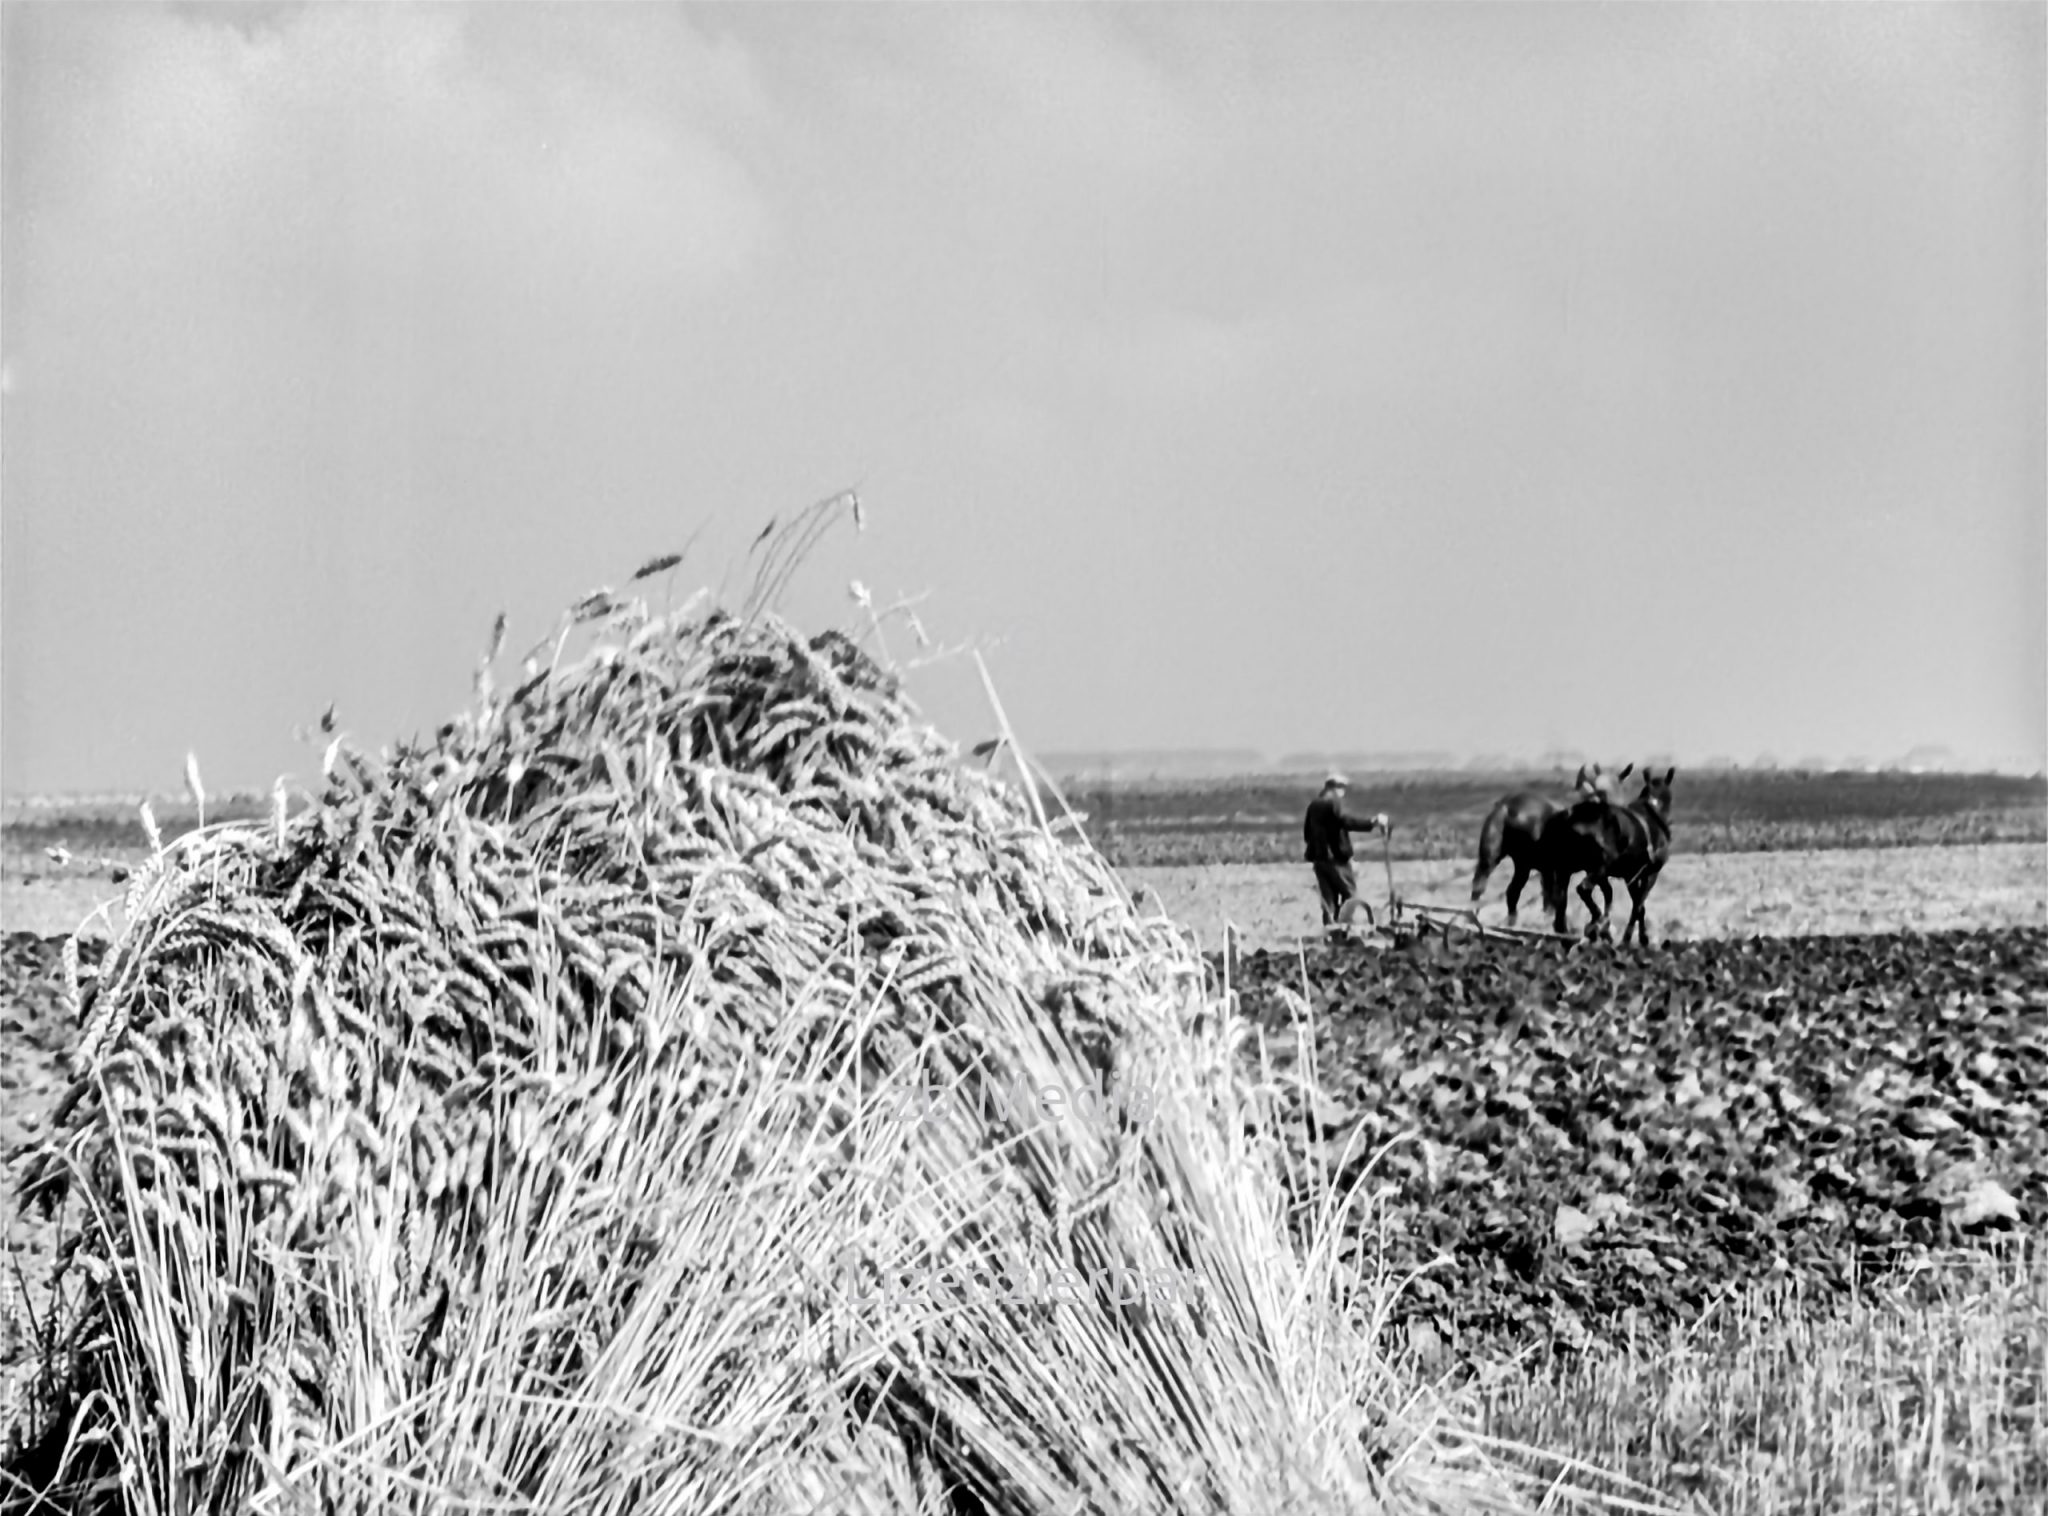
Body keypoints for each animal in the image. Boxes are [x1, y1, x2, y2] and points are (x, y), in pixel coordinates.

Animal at [1474, 762, 1630, 930]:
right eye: (1601, 794)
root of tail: (1506, 806)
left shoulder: (1577, 870)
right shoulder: (1563, 870)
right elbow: (1560, 900)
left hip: (1514, 863)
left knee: (1504, 891)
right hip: (1502, 861)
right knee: (1486, 887)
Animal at [1548, 770, 1679, 946]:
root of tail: (1574, 818)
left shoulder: (1628, 876)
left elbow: (1625, 901)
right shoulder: (1649, 875)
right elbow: (1638, 905)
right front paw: (1635, 937)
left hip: (1567, 869)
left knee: (1561, 902)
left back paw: (1573, 933)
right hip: (1598, 866)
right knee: (1583, 889)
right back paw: (1598, 926)